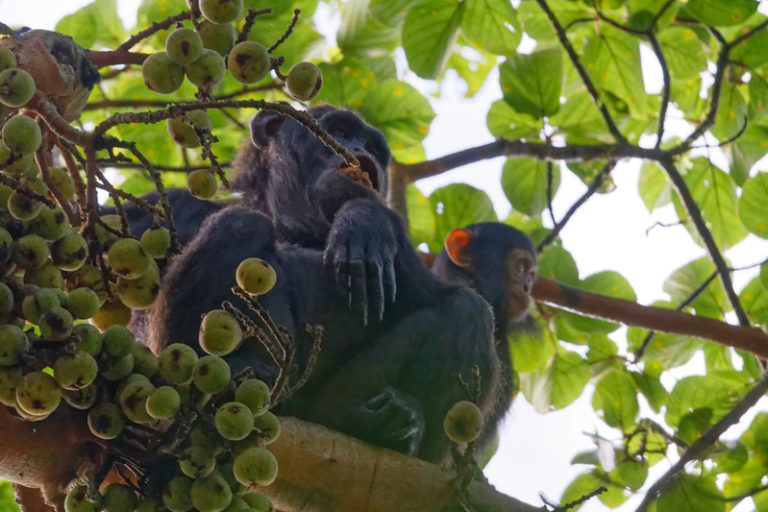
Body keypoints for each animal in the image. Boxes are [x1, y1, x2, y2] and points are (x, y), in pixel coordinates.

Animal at [147, 108, 536, 464]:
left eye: (373, 148)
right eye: (339, 130)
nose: (358, 151)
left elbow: (442, 295)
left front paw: (363, 218)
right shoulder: (168, 204)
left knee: (469, 311)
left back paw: (387, 422)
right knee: (241, 225)